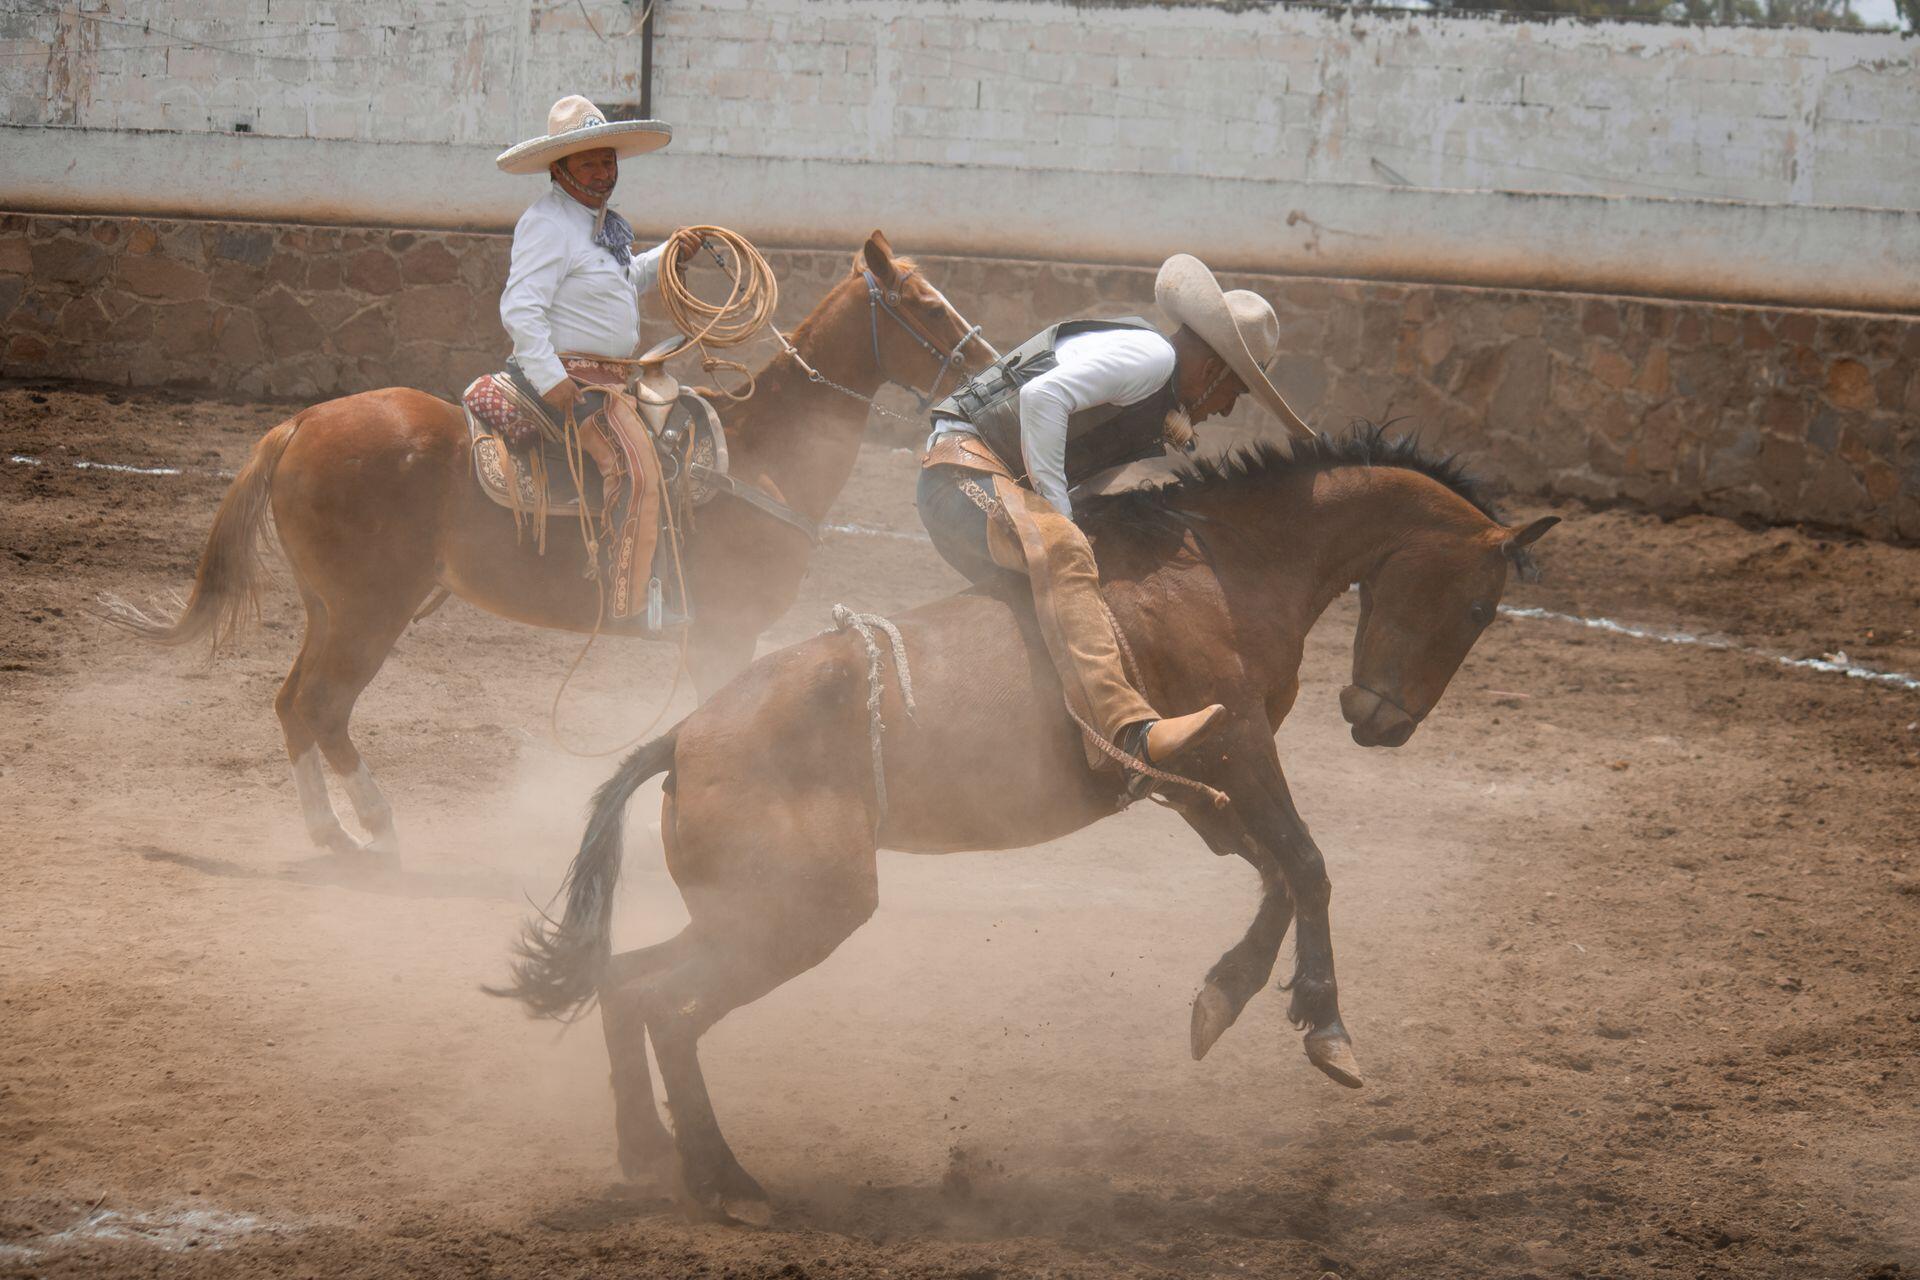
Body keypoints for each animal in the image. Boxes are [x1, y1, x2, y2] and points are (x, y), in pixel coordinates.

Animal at [106, 231, 993, 860]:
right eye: (923, 303)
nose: (989, 363)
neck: (759, 455)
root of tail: (299, 424)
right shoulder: (725, 631)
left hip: (327, 607)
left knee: (293, 704)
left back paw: (332, 834)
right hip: (367, 611)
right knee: (323, 706)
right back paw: (378, 827)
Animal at [492, 425, 1560, 1225]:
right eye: (1479, 606)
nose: (1384, 724)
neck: (1221, 566)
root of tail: (683, 736)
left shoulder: (1194, 783)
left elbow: (1272, 871)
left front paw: (1224, 996)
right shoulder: (1236, 745)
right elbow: (1306, 862)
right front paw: (1327, 1028)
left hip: (745, 912)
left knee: (627, 985)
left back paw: (649, 1154)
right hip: (799, 915)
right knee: (671, 1010)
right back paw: (730, 1187)